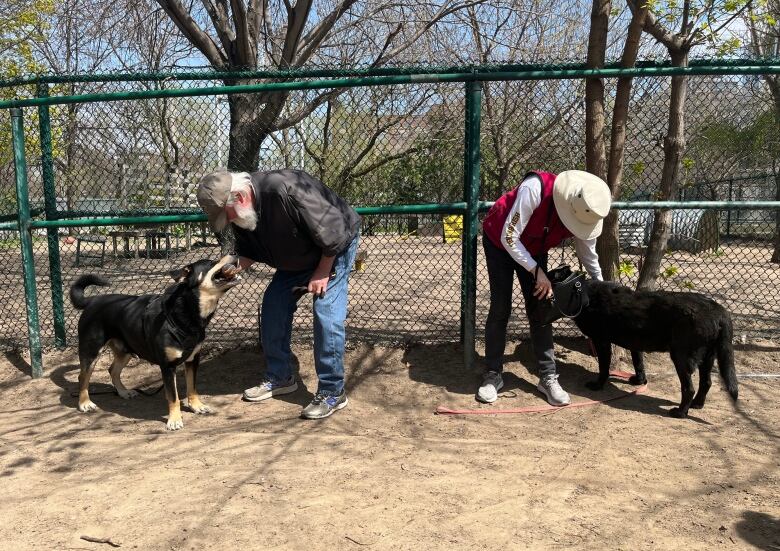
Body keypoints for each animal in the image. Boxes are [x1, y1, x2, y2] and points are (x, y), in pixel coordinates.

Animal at [70, 254, 241, 432]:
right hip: (91, 351)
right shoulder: (167, 366)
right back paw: (84, 403)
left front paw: (196, 406)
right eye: (211, 262)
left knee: (113, 370)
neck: (187, 313)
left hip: (125, 350)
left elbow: (192, 388)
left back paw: (123, 392)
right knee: (83, 377)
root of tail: (92, 300)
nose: (235, 254)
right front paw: (174, 420)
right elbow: (173, 397)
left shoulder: (193, 359)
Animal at [560, 274, 736, 420]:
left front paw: (597, 385)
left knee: (689, 389)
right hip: (708, 358)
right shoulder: (635, 343)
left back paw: (680, 413)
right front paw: (639, 381)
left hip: (681, 358)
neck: (586, 296)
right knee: (706, 383)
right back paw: (697, 404)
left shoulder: (601, 341)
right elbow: (638, 363)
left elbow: (604, 368)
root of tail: (719, 310)